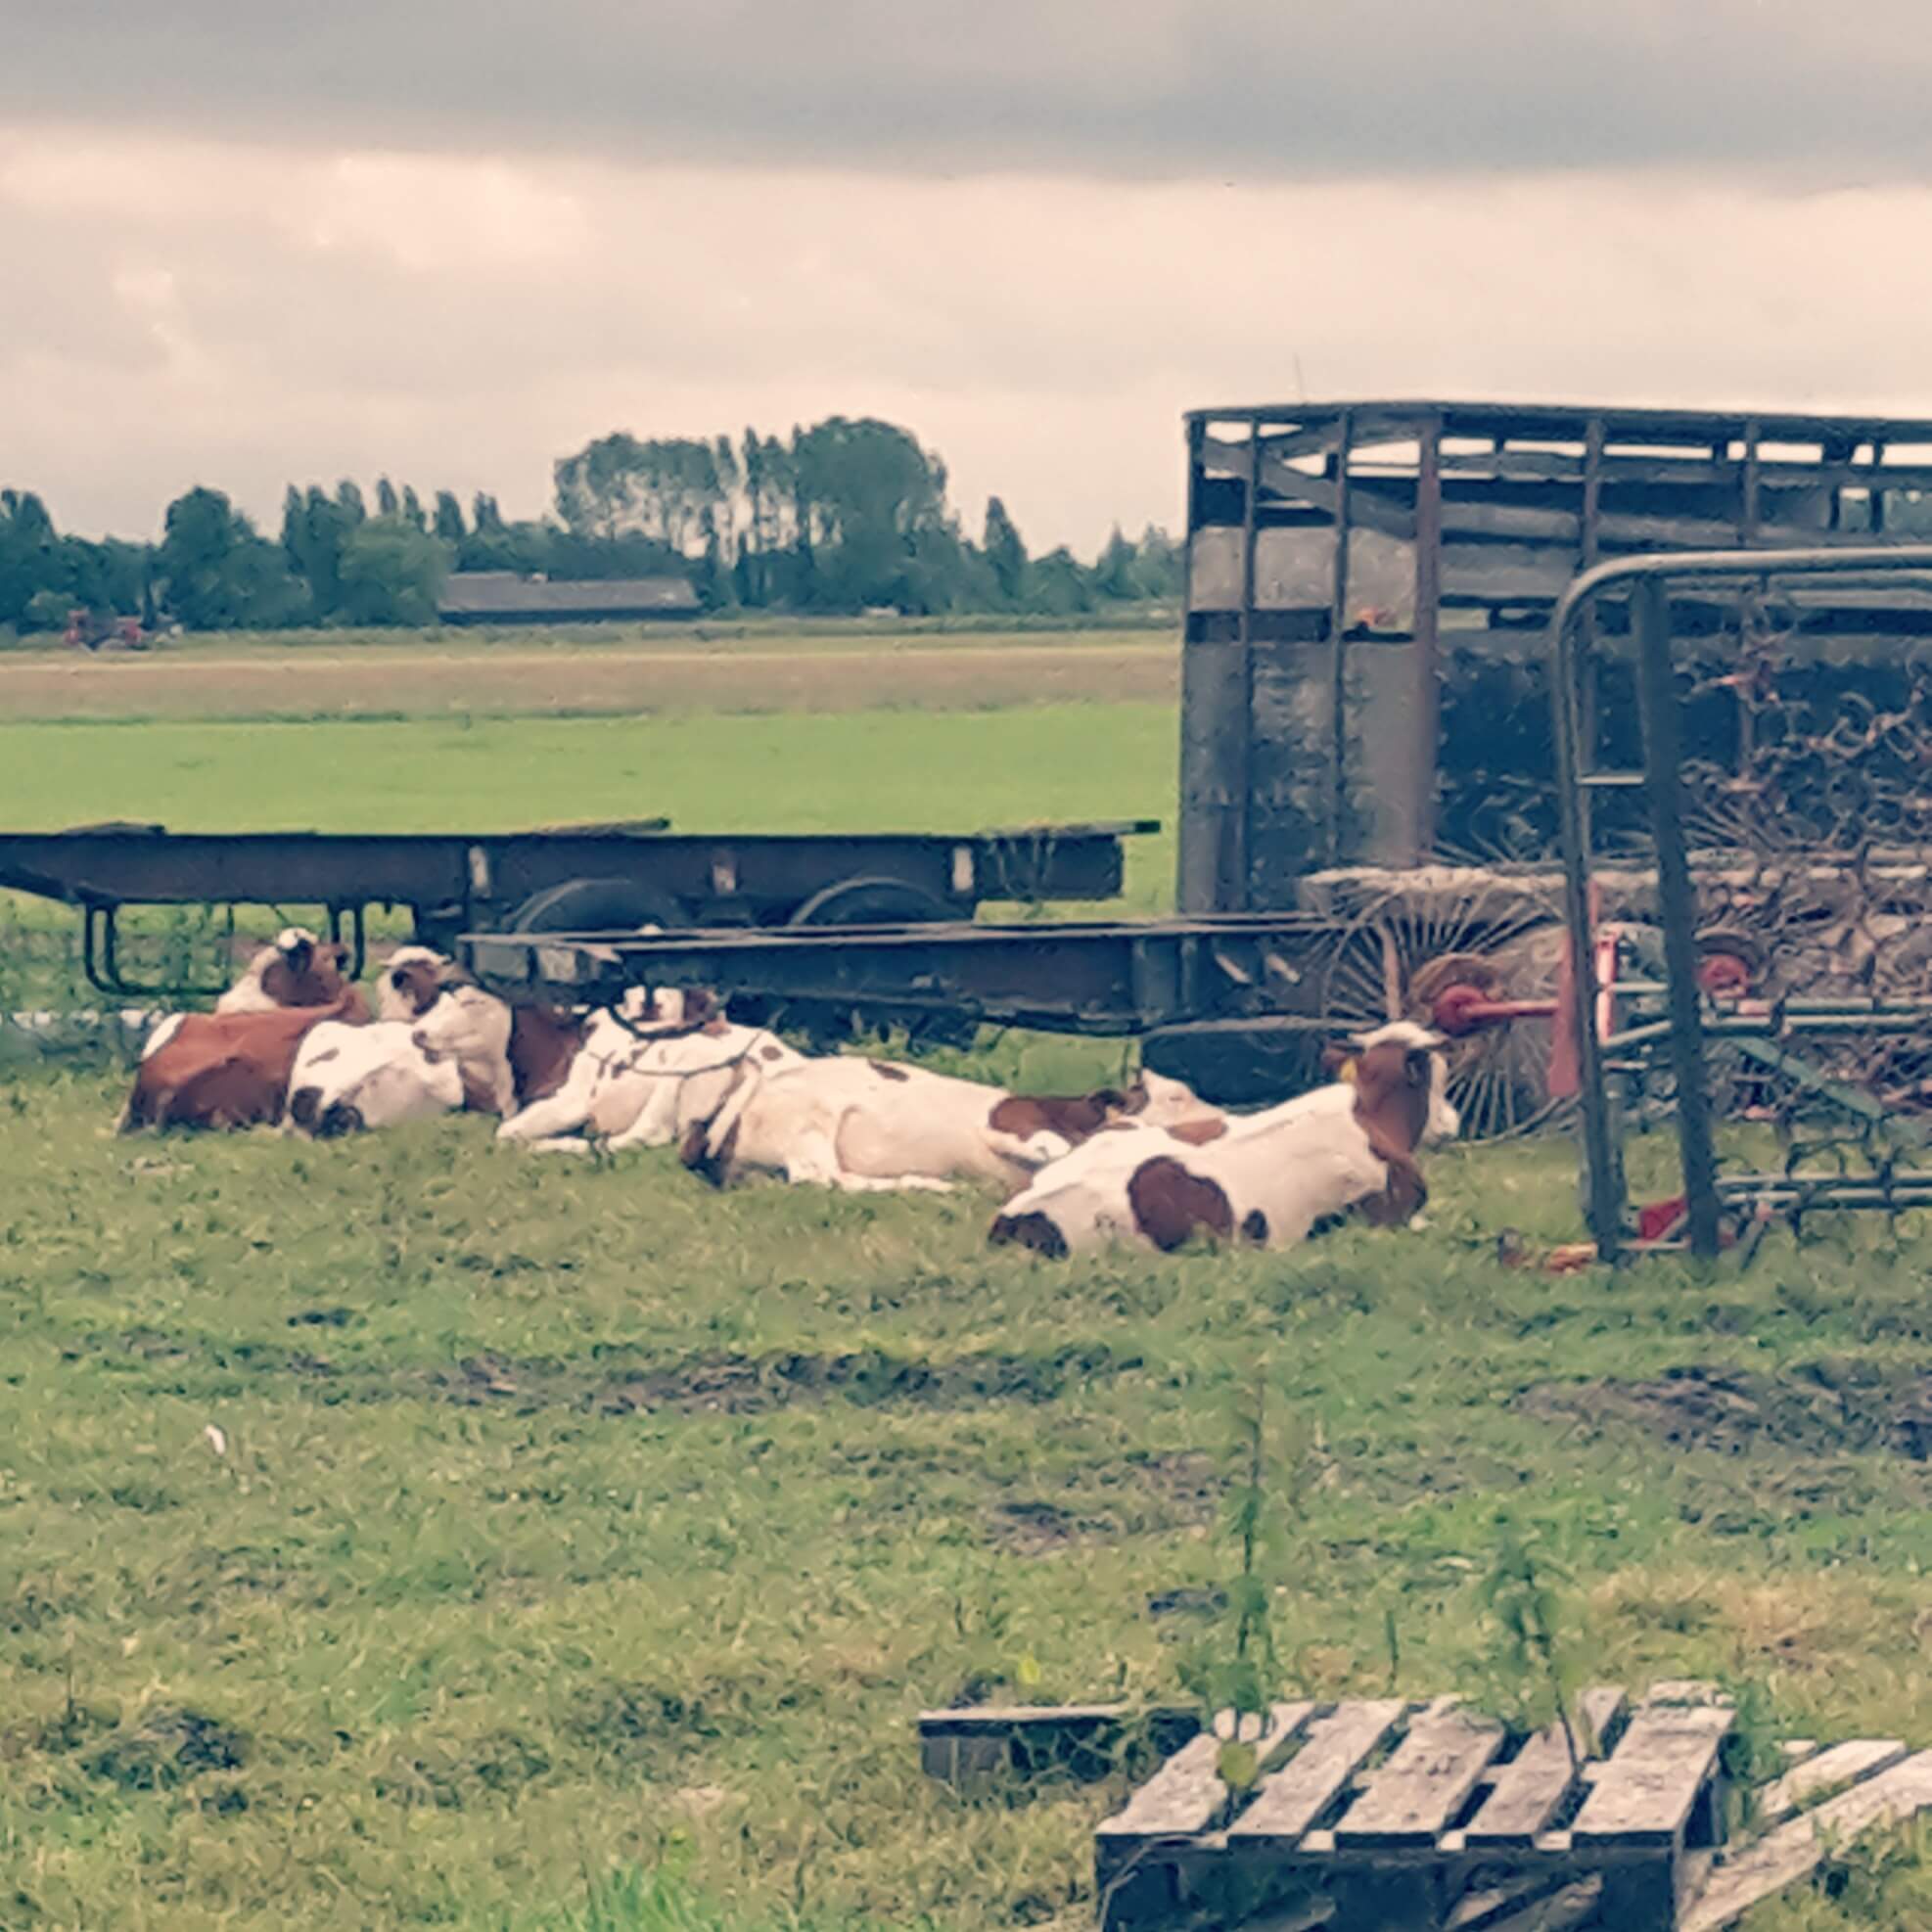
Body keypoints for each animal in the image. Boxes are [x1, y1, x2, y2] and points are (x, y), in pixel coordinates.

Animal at [683, 1058, 1205, 1189]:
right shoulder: (1013, 1123)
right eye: (1177, 1096)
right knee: (824, 1178)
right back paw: (931, 1185)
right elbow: (1049, 1148)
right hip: (811, 1122)